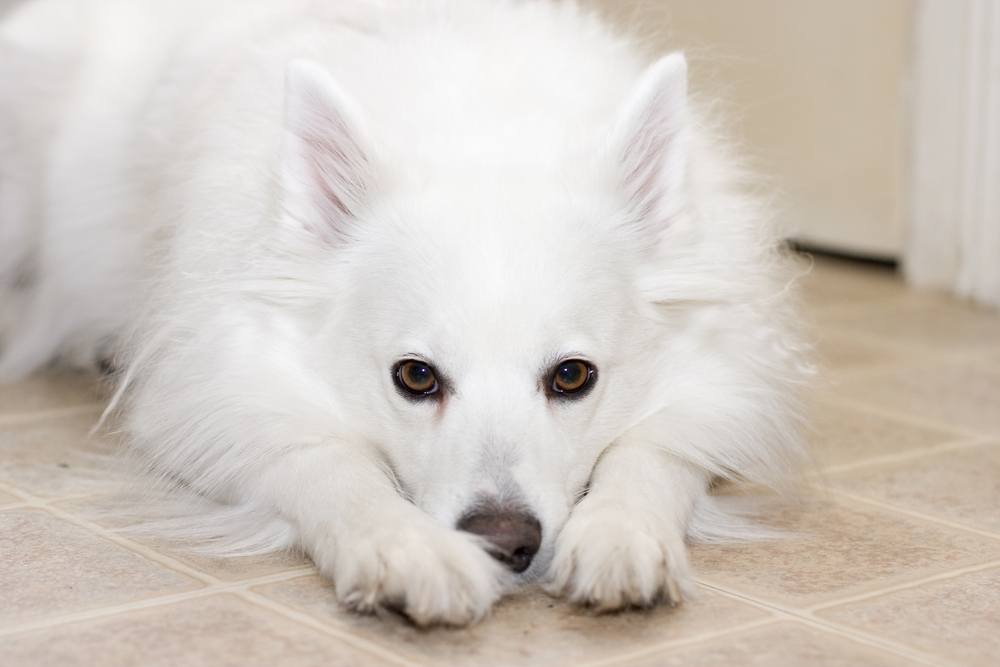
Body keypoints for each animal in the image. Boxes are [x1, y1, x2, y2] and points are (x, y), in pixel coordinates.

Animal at [0, 0, 808, 628]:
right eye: (416, 377)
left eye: (573, 376)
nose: (506, 541)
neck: (483, 132)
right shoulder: (222, 394)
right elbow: (330, 466)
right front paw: (406, 547)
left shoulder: (720, 382)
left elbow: (654, 452)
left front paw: (621, 533)